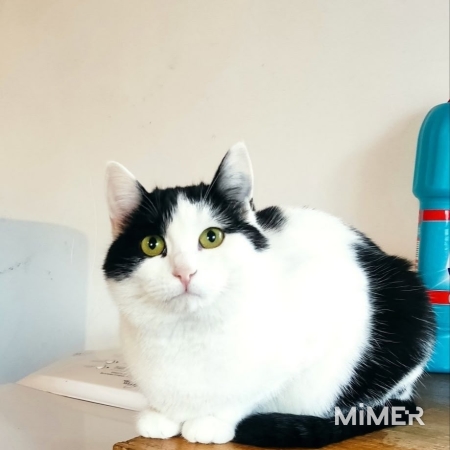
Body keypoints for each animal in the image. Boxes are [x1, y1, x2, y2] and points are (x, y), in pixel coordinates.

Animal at [103, 142, 435, 448]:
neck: (186, 333)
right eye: (152, 245)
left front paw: (212, 420)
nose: (185, 272)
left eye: (211, 237)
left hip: (412, 307)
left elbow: (250, 392)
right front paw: (162, 415)